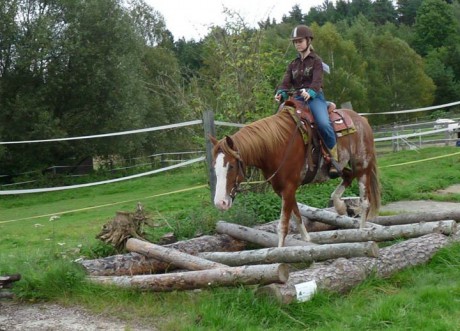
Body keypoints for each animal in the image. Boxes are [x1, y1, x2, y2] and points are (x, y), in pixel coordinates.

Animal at [210, 100, 380, 248]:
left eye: (231, 166)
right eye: (214, 167)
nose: (220, 203)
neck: (276, 146)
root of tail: (362, 119)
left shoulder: (289, 188)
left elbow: (283, 226)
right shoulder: (282, 190)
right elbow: (297, 217)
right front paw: (306, 241)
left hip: (362, 166)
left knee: (365, 202)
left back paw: (362, 232)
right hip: (340, 168)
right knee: (347, 177)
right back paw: (340, 207)